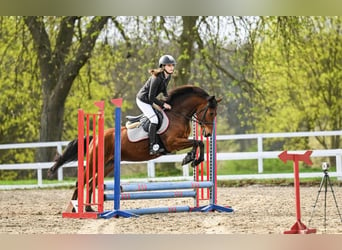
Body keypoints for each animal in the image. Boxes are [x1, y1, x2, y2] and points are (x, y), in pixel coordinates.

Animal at [47, 85, 222, 211]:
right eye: (211, 113)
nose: (208, 133)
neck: (177, 114)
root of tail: (95, 137)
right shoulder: (173, 142)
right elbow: (197, 142)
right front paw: (193, 159)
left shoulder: (180, 141)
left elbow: (197, 143)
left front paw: (190, 158)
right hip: (94, 162)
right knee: (81, 182)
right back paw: (74, 209)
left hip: (108, 165)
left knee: (90, 183)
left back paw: (89, 209)